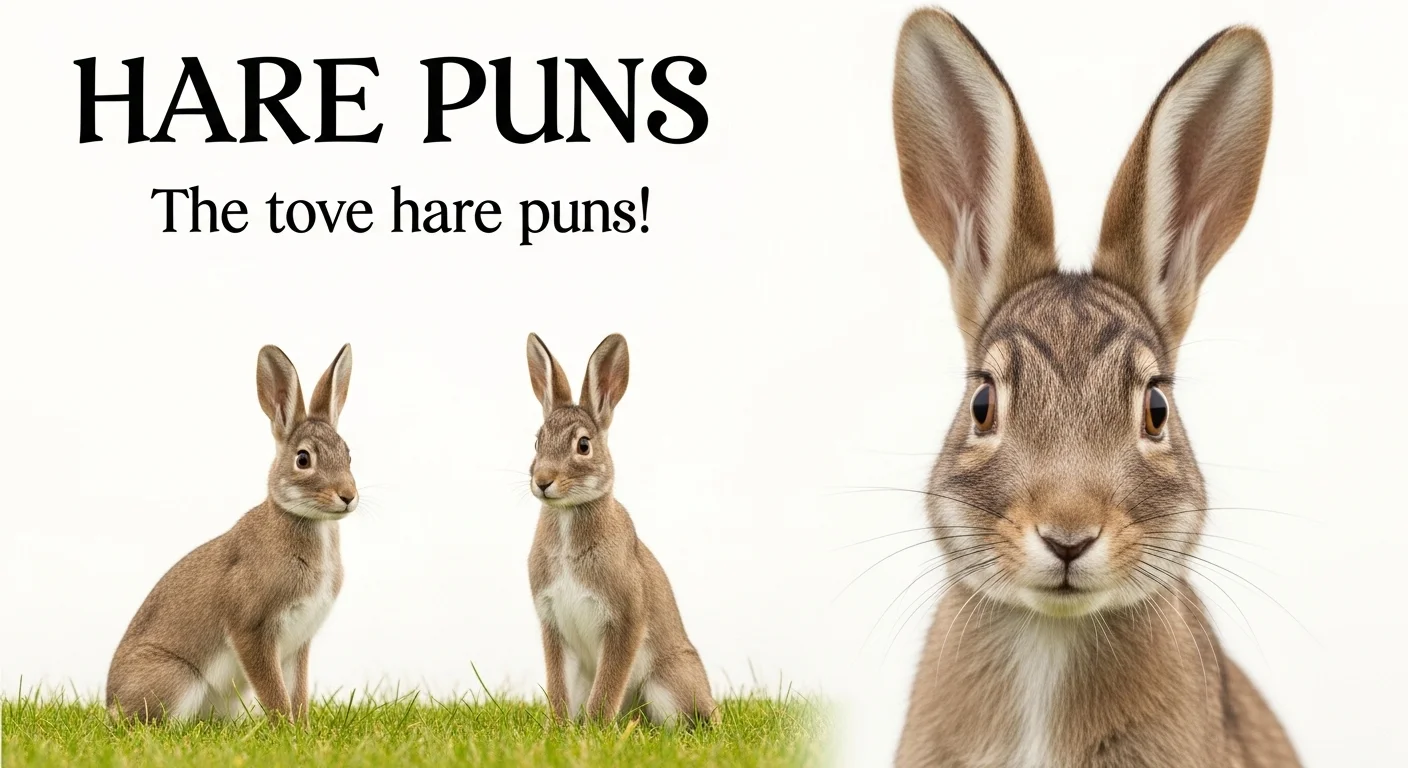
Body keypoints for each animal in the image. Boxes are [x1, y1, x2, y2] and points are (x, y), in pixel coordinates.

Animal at [106, 344, 356, 723]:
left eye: (349, 454)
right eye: (303, 459)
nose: (348, 496)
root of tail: (111, 704)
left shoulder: (298, 643)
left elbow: (297, 692)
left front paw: (302, 728)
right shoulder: (252, 628)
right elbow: (275, 692)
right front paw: (285, 729)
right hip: (178, 678)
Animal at [524, 332, 719, 727]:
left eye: (583, 445)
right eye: (537, 441)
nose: (543, 481)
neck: (568, 516)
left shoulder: (625, 619)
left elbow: (608, 685)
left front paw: (595, 729)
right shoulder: (552, 623)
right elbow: (558, 686)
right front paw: (559, 728)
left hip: (666, 682)